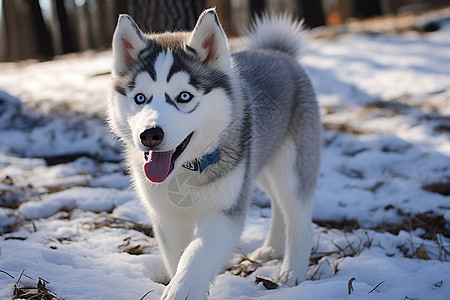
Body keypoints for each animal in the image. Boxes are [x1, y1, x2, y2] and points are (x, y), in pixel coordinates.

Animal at [108, 8, 320, 298]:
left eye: (184, 97)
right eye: (140, 98)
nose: (150, 135)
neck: (185, 169)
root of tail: (278, 53)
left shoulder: (224, 212)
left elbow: (197, 252)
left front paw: (182, 289)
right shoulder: (167, 217)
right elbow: (177, 255)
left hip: (290, 168)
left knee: (297, 215)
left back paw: (292, 272)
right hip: (259, 162)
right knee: (278, 204)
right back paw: (271, 248)